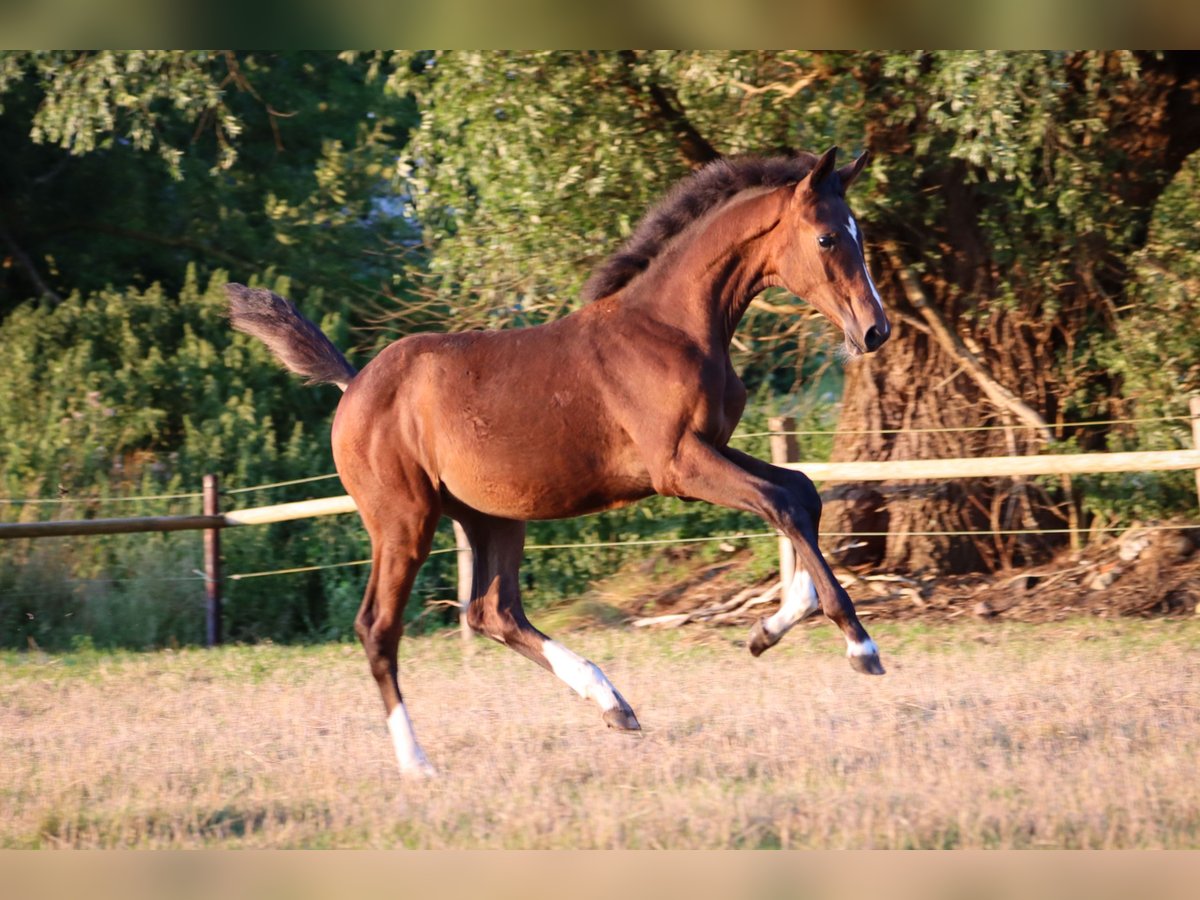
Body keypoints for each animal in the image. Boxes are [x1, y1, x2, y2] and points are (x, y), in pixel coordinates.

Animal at [229, 146, 892, 777]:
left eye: (859, 232)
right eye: (828, 237)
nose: (876, 330)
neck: (670, 325)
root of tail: (354, 383)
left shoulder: (711, 446)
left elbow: (801, 491)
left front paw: (767, 630)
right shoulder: (677, 466)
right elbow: (781, 501)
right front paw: (858, 644)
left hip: (491, 516)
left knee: (493, 612)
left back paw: (613, 703)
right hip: (403, 520)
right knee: (379, 627)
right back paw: (417, 764)